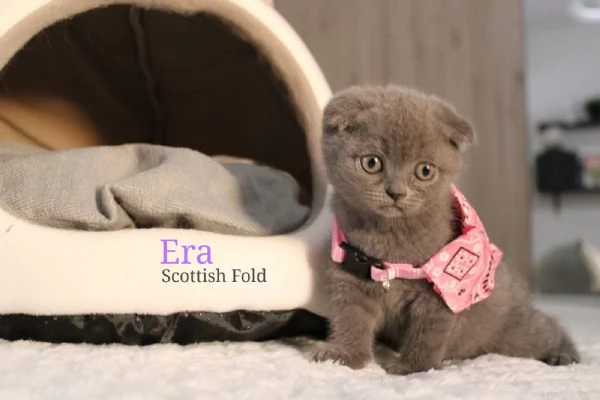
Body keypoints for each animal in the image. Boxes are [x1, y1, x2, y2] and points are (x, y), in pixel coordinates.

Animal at [316, 85, 580, 376]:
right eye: (372, 163)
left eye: (425, 170)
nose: (396, 192)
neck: (388, 242)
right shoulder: (350, 278)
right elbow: (351, 319)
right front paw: (344, 356)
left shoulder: (439, 293)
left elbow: (427, 334)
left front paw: (411, 367)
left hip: (514, 332)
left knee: (545, 329)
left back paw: (564, 355)